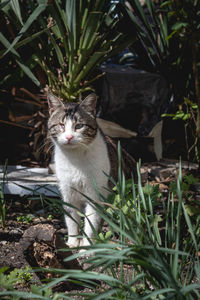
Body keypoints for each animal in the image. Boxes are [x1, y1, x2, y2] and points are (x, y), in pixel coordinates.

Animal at [47, 93, 136, 248]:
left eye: (79, 126)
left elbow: (91, 222)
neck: (75, 160)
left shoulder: (95, 194)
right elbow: (71, 219)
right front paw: (72, 243)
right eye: (61, 125)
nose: (69, 137)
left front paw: (86, 247)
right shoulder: (67, 192)